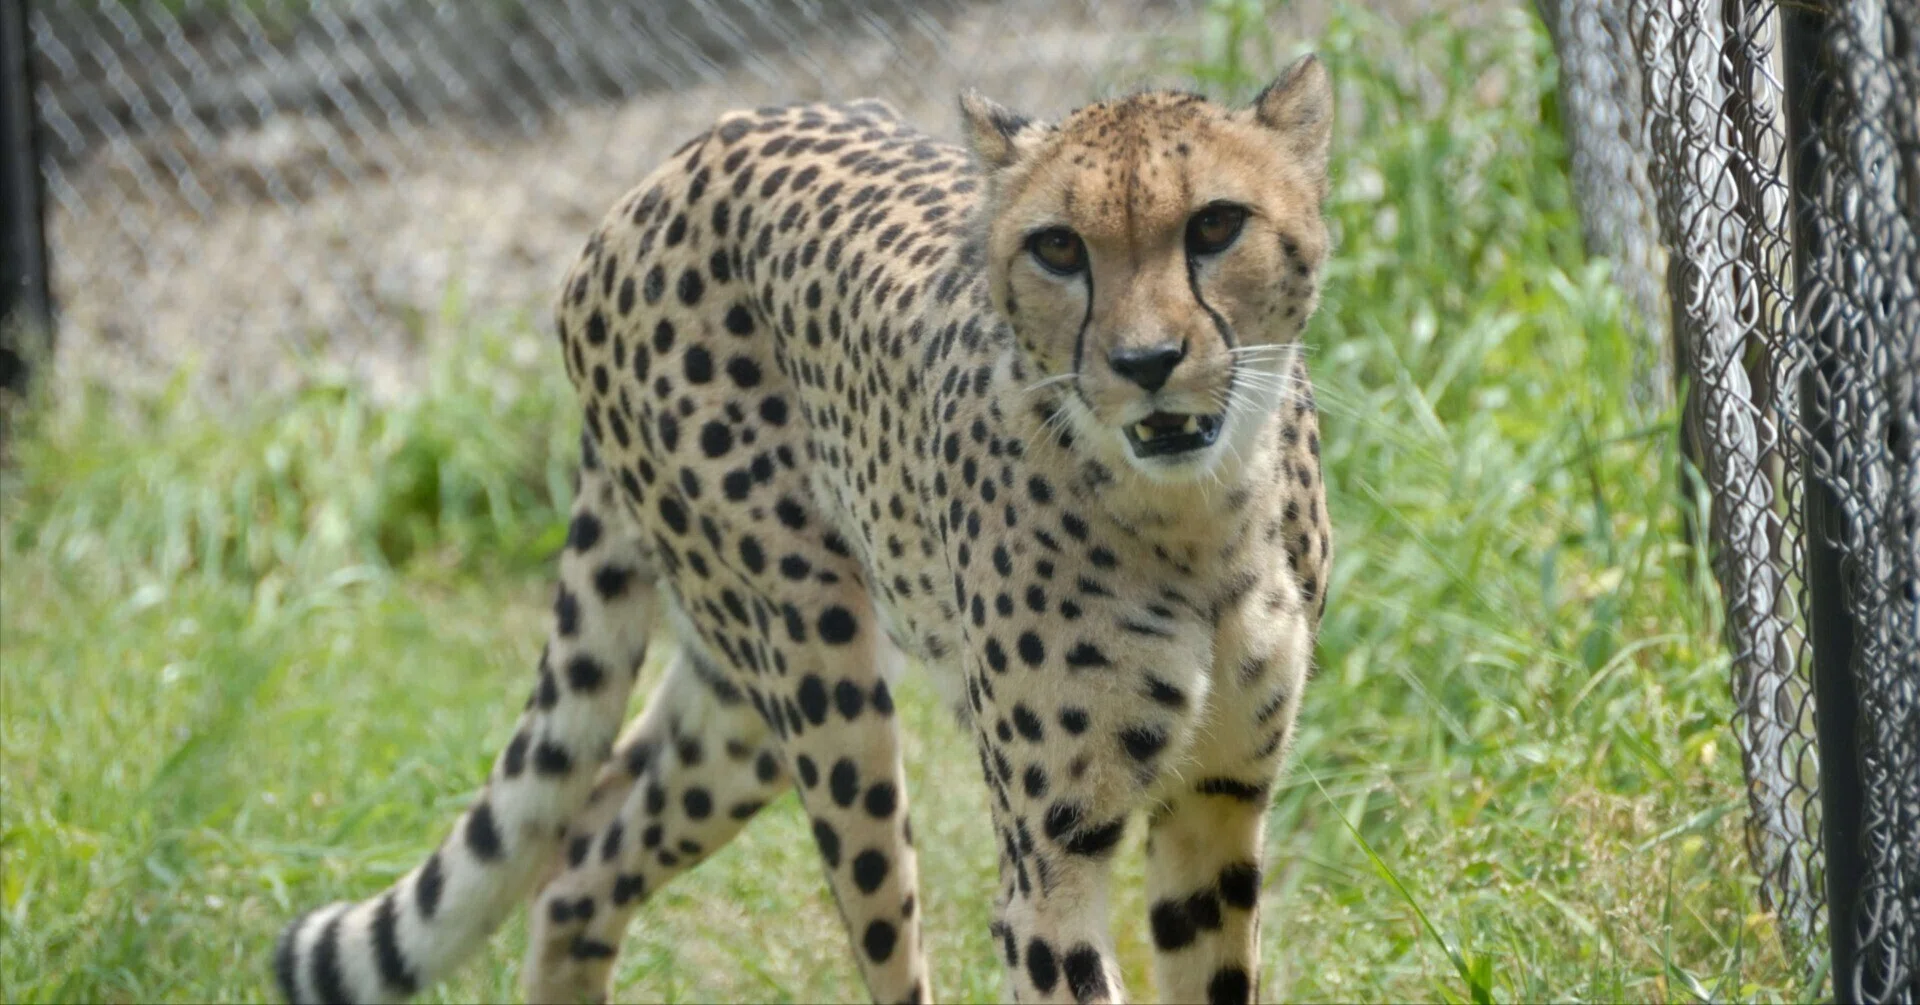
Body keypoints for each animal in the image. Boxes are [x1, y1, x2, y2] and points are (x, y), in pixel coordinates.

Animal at [274, 52, 1335, 1005]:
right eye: (1060, 248)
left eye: (1216, 225)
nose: (1146, 363)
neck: (1200, 518)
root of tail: (667, 170)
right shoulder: (1051, 861)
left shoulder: (1219, 802)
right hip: (819, 678)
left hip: (741, 701)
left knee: (580, 851)